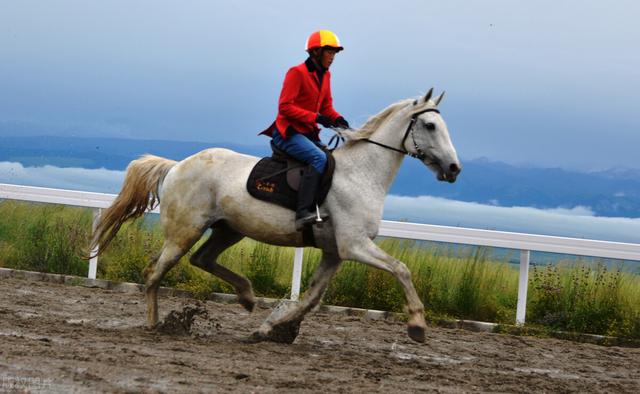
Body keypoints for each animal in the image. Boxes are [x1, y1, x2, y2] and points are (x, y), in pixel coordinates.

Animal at [90, 87, 460, 344]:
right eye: (430, 125)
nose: (454, 168)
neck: (362, 174)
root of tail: (177, 165)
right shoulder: (354, 246)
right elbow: (402, 269)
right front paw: (417, 326)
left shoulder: (335, 253)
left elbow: (311, 298)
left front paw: (271, 328)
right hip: (186, 230)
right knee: (155, 272)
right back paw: (156, 324)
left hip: (229, 229)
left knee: (202, 259)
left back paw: (247, 296)